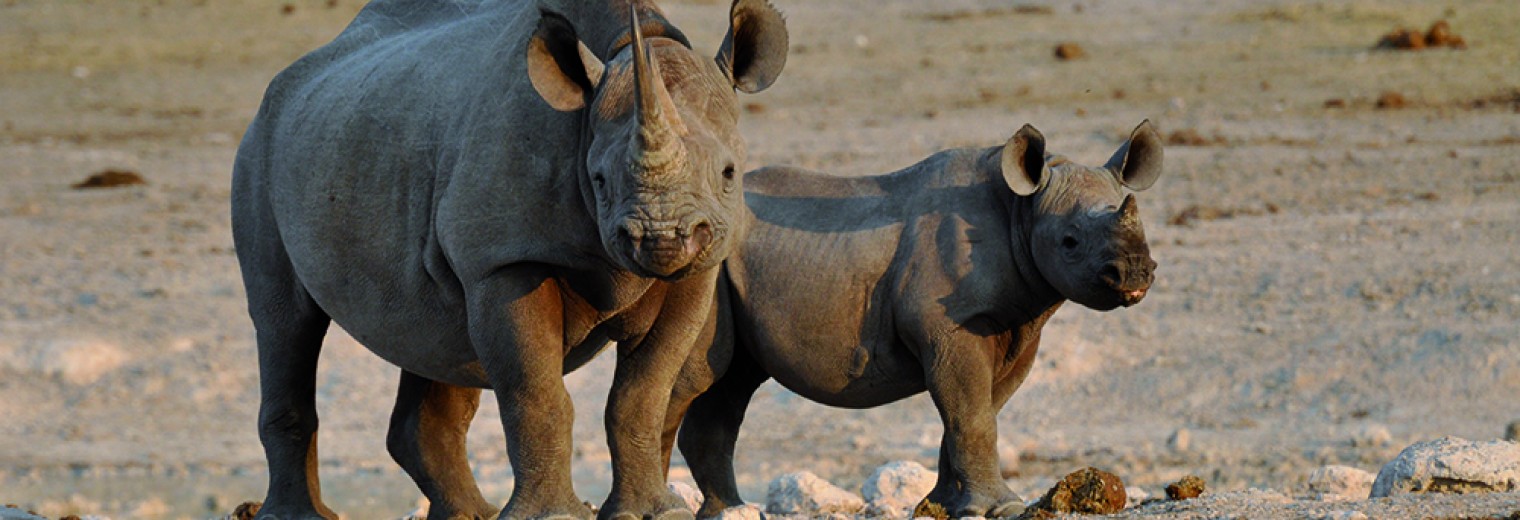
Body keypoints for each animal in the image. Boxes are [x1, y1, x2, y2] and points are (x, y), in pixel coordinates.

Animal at [231, 0, 790, 516]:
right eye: (599, 180)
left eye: (729, 173)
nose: (663, 238)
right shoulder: (504, 262)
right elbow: (537, 394)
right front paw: (555, 515)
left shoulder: (695, 274)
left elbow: (643, 396)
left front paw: (653, 511)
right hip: (258, 152)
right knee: (285, 321)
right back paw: (299, 515)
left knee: (436, 339)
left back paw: (471, 514)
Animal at [668, 120, 1161, 516]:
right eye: (1069, 241)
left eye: (1142, 227)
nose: (1136, 272)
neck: (1022, 211)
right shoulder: (950, 325)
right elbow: (972, 415)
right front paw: (1002, 507)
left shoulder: (1019, 329)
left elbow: (974, 414)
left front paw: (940, 507)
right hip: (703, 263)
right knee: (692, 377)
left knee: (730, 381)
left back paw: (729, 511)